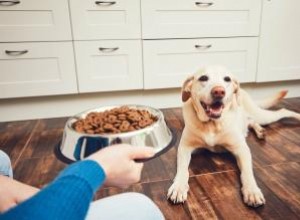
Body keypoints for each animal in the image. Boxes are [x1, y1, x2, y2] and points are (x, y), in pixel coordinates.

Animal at [166, 65, 300, 206]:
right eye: (203, 78)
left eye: (227, 79)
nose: (219, 92)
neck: (212, 124)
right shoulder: (184, 148)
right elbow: (183, 169)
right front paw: (178, 187)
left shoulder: (242, 149)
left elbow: (247, 172)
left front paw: (252, 191)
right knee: (251, 121)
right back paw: (260, 131)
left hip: (262, 115)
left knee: (282, 111)